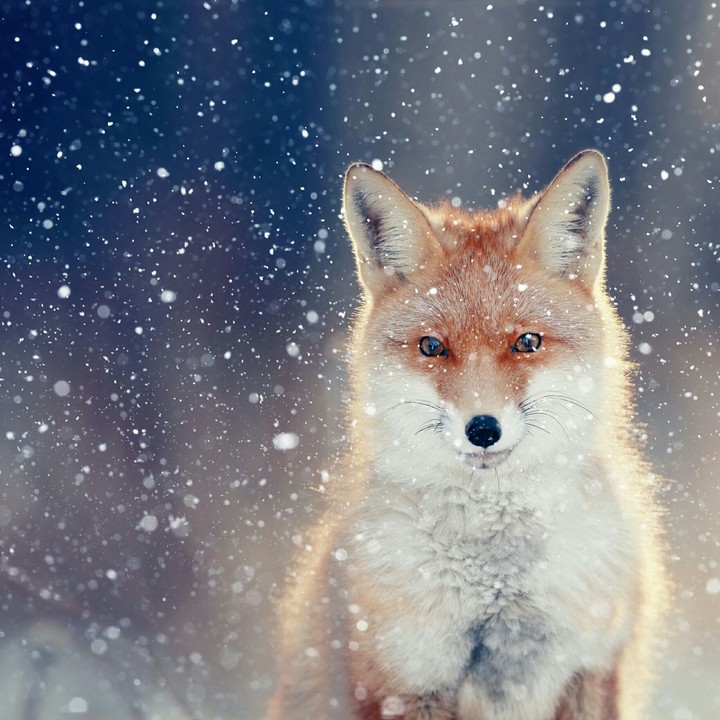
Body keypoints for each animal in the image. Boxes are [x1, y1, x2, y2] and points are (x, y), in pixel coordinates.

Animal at [265, 150, 667, 720]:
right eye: (432, 346)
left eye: (527, 342)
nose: (482, 429)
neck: (497, 579)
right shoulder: (405, 679)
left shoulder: (591, 664)